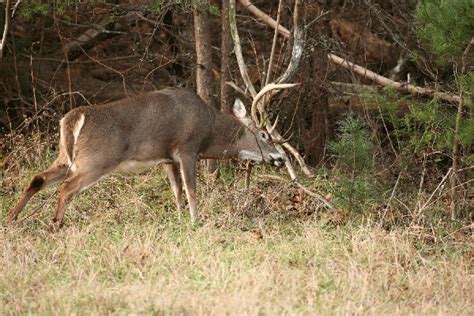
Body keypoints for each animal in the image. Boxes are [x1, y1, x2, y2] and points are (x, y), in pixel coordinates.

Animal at [3, 87, 284, 231]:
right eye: (263, 134)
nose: (279, 158)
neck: (209, 130)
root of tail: (74, 117)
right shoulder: (187, 148)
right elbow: (191, 190)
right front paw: (195, 222)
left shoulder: (167, 158)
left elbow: (177, 192)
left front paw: (180, 219)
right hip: (96, 160)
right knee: (67, 187)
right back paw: (54, 225)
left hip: (66, 157)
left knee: (38, 178)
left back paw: (10, 220)